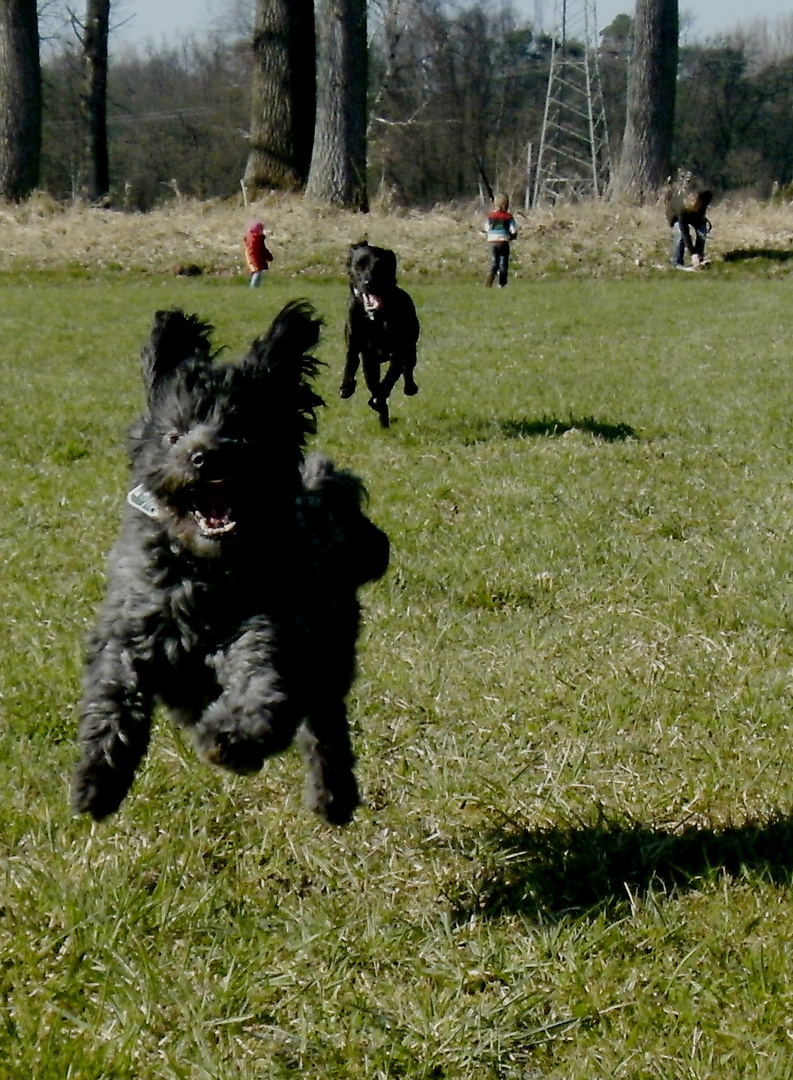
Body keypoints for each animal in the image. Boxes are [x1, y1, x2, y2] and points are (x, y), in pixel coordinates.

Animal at [72, 300, 388, 820]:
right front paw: (96, 780)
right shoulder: (129, 627)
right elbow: (112, 696)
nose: (204, 457)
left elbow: (261, 688)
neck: (205, 571)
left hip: (328, 657)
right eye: (174, 436)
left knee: (324, 728)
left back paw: (332, 796)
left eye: (242, 429)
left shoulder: (268, 630)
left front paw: (229, 739)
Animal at [339, 243, 423, 427]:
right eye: (358, 265)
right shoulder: (362, 352)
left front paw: (378, 399)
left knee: (408, 368)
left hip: (410, 349)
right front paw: (346, 387)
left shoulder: (399, 352)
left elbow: (388, 380)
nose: (368, 283)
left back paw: (409, 388)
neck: (375, 317)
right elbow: (351, 362)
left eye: (380, 266)